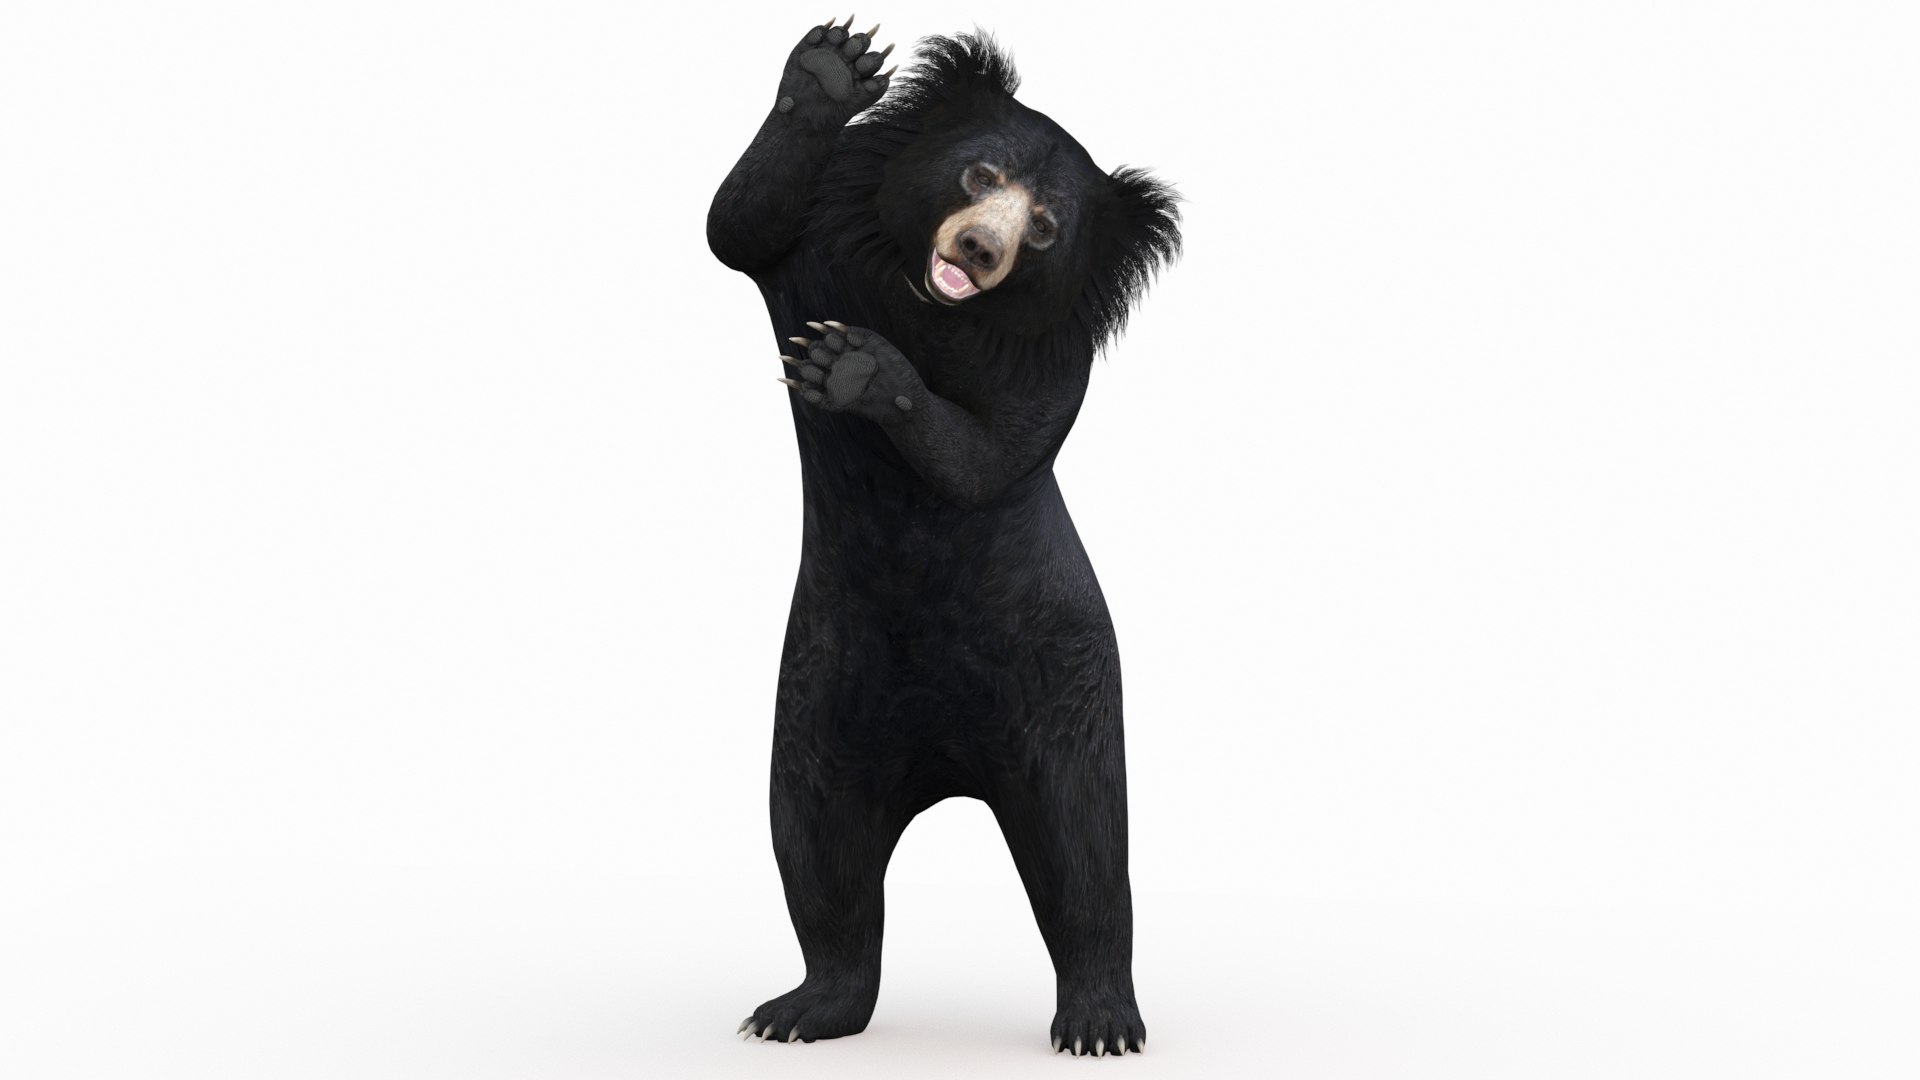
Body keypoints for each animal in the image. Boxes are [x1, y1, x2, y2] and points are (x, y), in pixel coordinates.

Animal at [706, 18, 1180, 1058]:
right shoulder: (816, 248)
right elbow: (738, 225)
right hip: (822, 699)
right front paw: (835, 64)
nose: (976, 246)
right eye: (978, 174)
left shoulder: (1052, 368)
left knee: (1086, 850)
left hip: (1062, 674)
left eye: (1043, 229)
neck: (930, 307)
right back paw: (802, 1008)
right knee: (820, 846)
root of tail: (950, 772)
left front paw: (858, 367)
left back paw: (1099, 1019)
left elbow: (992, 456)